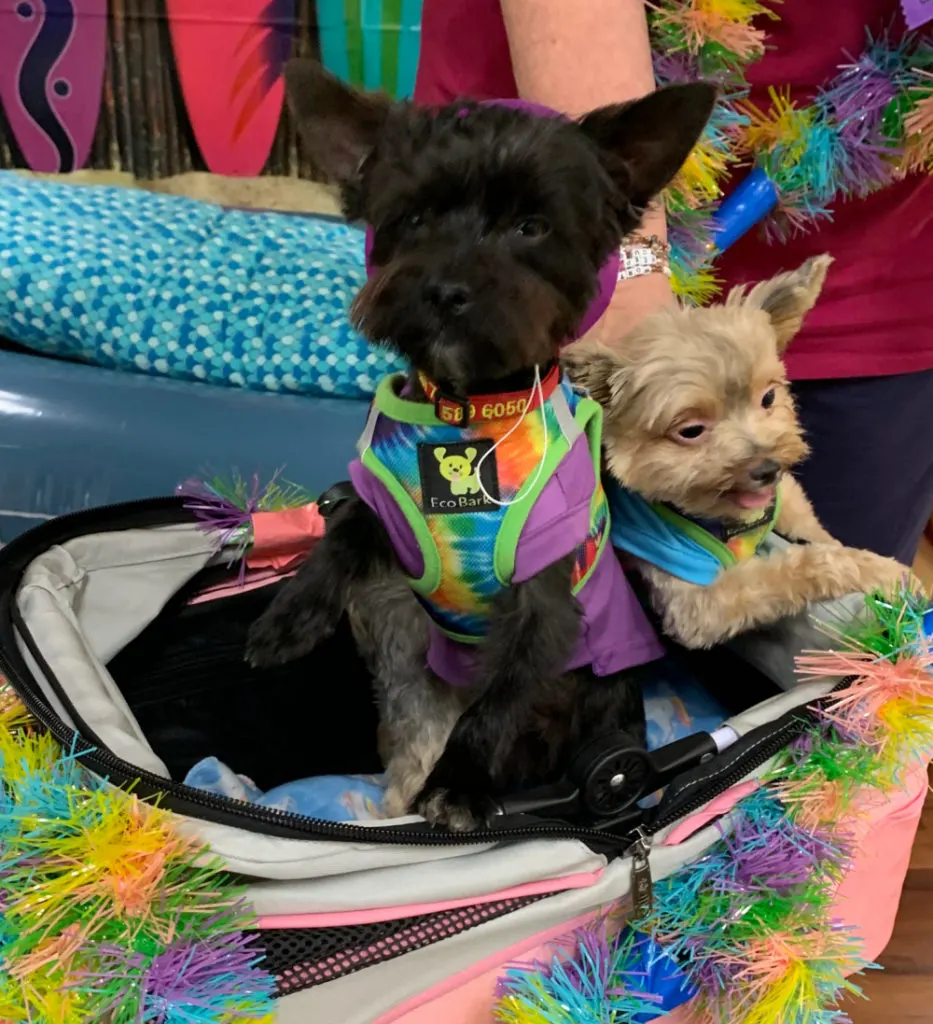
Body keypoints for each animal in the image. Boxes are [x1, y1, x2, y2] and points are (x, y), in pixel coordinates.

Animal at [244, 58, 712, 831]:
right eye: (414, 219)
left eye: (531, 227)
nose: (444, 289)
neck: (468, 412)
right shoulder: (388, 502)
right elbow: (345, 530)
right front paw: (290, 616)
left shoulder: (544, 599)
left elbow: (499, 700)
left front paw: (457, 785)